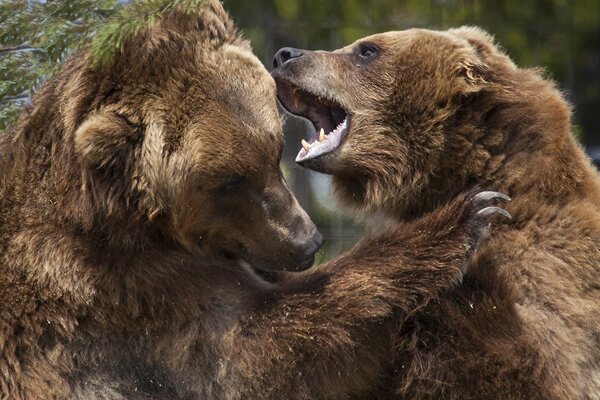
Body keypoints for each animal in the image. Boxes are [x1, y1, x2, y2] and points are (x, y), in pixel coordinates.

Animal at [0, 3, 510, 400]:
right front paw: (466, 216)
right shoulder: (130, 299)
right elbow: (261, 354)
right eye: (228, 182)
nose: (308, 243)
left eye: (274, 150)